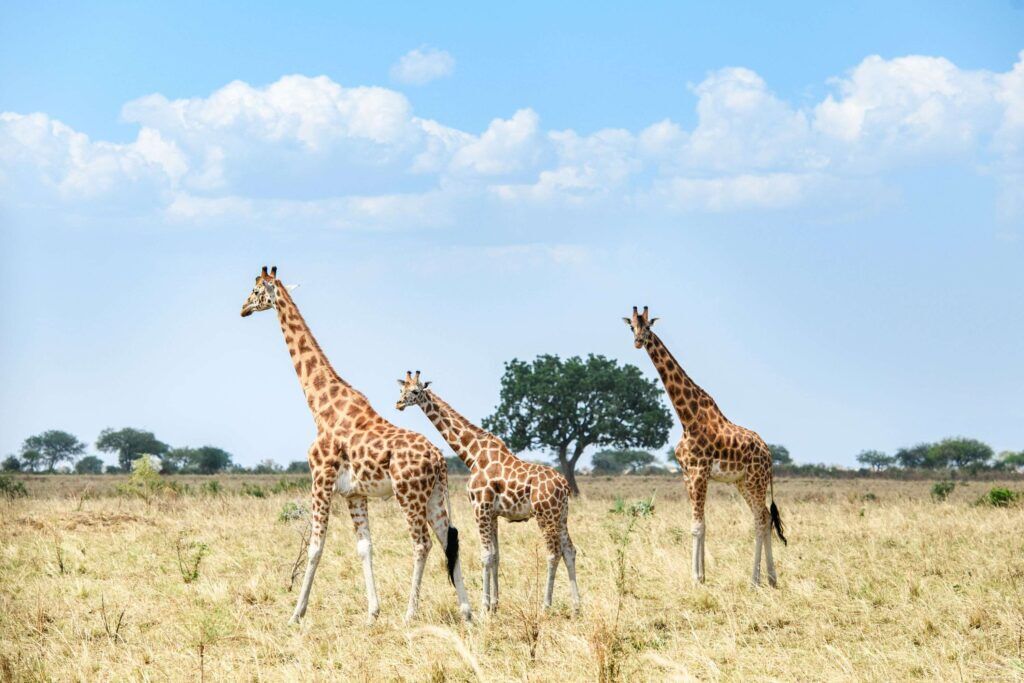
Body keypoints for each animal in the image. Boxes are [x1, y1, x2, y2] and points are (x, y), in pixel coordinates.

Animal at [239, 266, 471, 626]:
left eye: (255, 291)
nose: (243, 309)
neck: (321, 408)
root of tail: (439, 460)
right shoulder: (354, 493)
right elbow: (365, 547)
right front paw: (372, 612)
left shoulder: (320, 478)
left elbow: (315, 546)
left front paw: (296, 614)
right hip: (435, 495)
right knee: (448, 540)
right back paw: (468, 611)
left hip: (409, 494)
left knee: (422, 544)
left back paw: (410, 614)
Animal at [395, 370, 581, 618]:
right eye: (401, 389)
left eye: (415, 391)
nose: (398, 404)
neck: (472, 454)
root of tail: (564, 485)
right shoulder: (493, 514)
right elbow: (496, 555)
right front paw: (494, 604)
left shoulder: (480, 508)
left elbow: (485, 555)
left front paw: (484, 608)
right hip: (561, 515)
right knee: (570, 550)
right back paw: (577, 607)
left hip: (545, 515)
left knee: (553, 553)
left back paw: (545, 606)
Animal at [618, 307, 786, 585]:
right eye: (631, 327)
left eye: (649, 327)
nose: (638, 342)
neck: (687, 418)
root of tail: (769, 454)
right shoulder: (687, 474)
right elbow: (701, 524)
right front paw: (703, 575)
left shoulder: (699, 472)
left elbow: (696, 525)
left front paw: (696, 578)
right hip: (743, 482)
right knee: (762, 516)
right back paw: (770, 578)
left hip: (755, 479)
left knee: (762, 519)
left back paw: (755, 579)